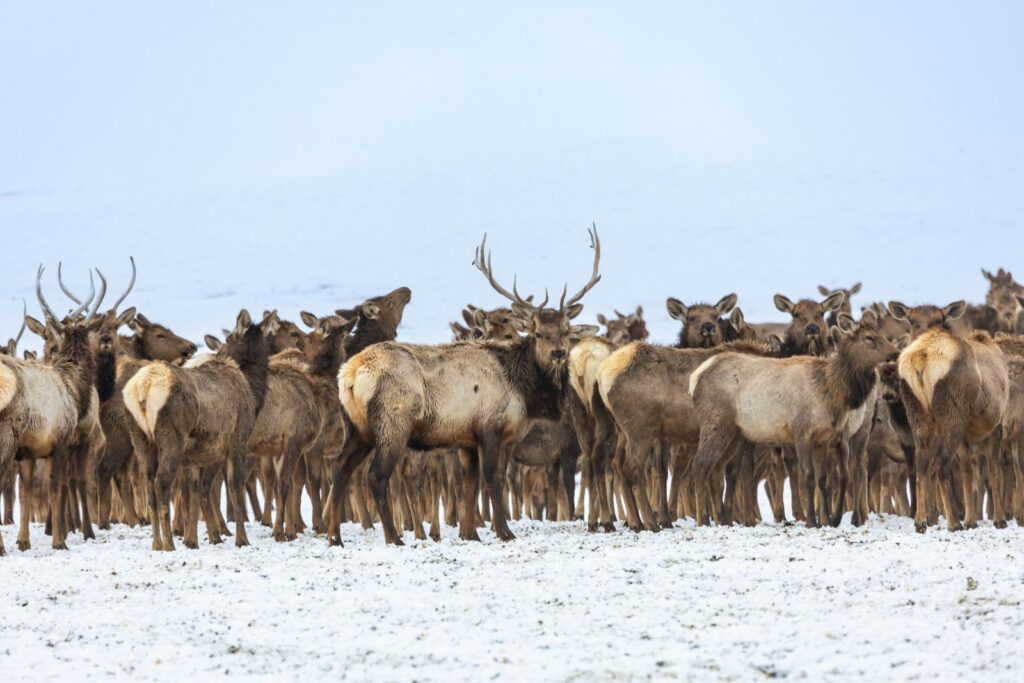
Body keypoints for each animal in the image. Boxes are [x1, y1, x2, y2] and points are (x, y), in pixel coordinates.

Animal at [123, 309, 279, 550]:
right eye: (268, 341)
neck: (253, 394)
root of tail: (143, 388)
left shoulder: (199, 454)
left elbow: (196, 488)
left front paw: (195, 539)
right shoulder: (235, 441)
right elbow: (232, 487)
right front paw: (240, 538)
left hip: (141, 439)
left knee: (149, 486)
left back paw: (157, 543)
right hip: (171, 440)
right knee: (161, 485)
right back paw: (169, 544)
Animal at [331, 226, 601, 546]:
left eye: (565, 330)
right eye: (537, 332)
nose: (558, 353)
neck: (524, 392)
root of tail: (350, 373)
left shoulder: (467, 439)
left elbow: (470, 484)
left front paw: (470, 533)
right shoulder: (489, 428)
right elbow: (493, 480)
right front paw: (504, 531)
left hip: (356, 427)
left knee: (340, 469)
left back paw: (334, 537)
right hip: (392, 424)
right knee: (375, 476)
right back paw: (393, 537)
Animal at [689, 315, 898, 528]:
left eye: (883, 334)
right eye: (869, 337)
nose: (896, 352)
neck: (830, 392)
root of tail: (695, 378)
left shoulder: (825, 437)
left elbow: (825, 478)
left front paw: (830, 519)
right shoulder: (802, 431)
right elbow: (808, 475)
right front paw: (812, 521)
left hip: (735, 433)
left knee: (716, 470)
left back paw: (723, 521)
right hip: (716, 423)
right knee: (700, 465)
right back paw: (703, 520)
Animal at [897, 327, 1009, 532]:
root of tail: (921, 358)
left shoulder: (966, 438)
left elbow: (967, 474)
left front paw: (971, 520)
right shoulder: (995, 426)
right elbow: (994, 473)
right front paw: (999, 520)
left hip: (918, 417)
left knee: (922, 464)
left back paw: (921, 521)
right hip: (953, 418)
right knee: (941, 462)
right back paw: (954, 522)